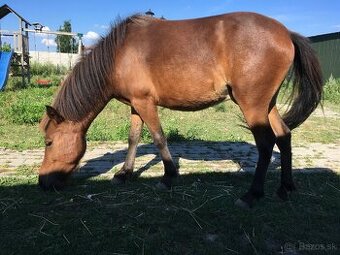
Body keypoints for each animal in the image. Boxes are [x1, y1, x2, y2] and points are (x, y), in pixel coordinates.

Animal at [38, 11, 322, 208]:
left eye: (49, 142)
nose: (42, 183)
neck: (119, 54)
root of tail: (286, 32)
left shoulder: (145, 103)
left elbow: (158, 138)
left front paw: (168, 176)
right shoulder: (135, 105)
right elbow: (133, 139)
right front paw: (124, 174)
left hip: (252, 105)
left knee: (266, 144)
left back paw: (251, 195)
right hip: (267, 104)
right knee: (284, 136)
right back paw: (285, 189)